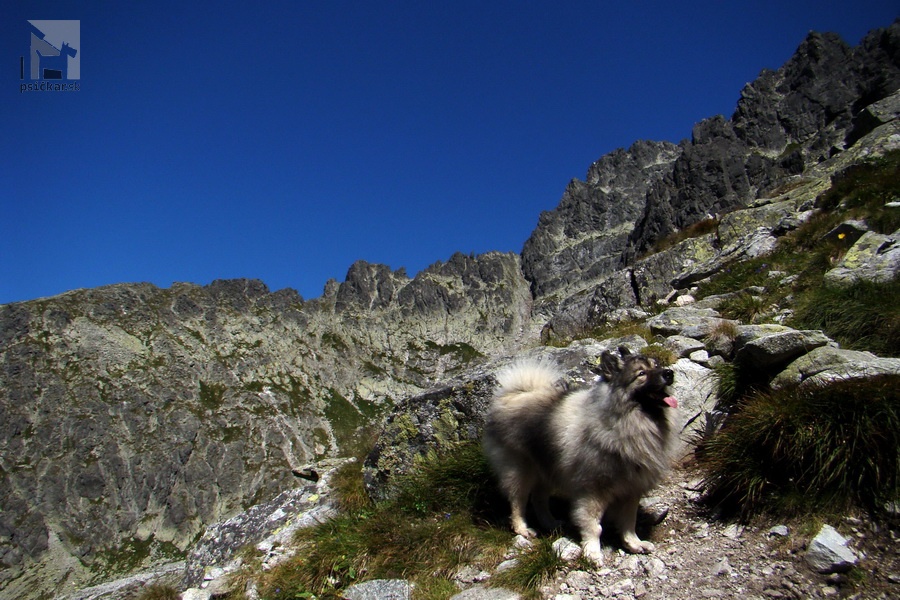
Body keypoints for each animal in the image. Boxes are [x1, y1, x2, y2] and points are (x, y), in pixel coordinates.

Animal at [486, 346, 676, 564]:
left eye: (656, 365)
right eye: (641, 374)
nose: (669, 373)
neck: (625, 422)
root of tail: (513, 394)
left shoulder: (631, 489)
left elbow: (629, 522)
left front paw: (634, 544)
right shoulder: (593, 491)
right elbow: (594, 525)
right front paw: (592, 552)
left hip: (548, 469)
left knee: (539, 499)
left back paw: (550, 523)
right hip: (520, 469)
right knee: (518, 501)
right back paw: (522, 529)